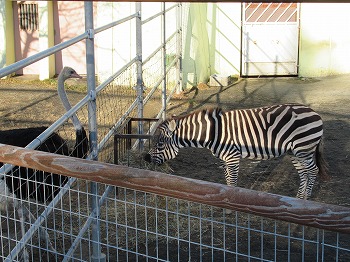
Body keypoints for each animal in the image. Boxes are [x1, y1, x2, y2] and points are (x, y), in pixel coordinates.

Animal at [144, 103, 330, 200]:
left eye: (160, 143)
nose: (146, 158)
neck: (214, 132)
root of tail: (315, 113)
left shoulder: (232, 157)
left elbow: (232, 181)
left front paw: (230, 207)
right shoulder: (224, 159)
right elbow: (227, 180)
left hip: (304, 148)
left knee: (313, 170)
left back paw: (306, 200)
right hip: (295, 152)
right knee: (304, 173)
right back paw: (299, 199)